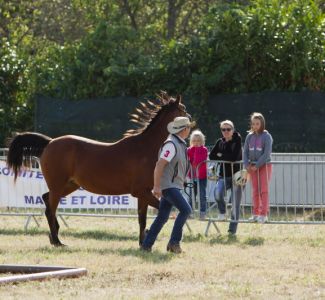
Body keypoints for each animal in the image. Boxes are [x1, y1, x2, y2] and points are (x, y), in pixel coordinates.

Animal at [6, 94, 189, 246]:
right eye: (183, 110)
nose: (191, 122)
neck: (145, 148)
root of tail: (50, 143)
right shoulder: (141, 192)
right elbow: (161, 213)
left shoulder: (143, 193)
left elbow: (141, 219)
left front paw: (142, 242)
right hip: (58, 186)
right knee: (50, 209)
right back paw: (57, 241)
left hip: (69, 185)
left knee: (46, 199)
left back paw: (54, 236)